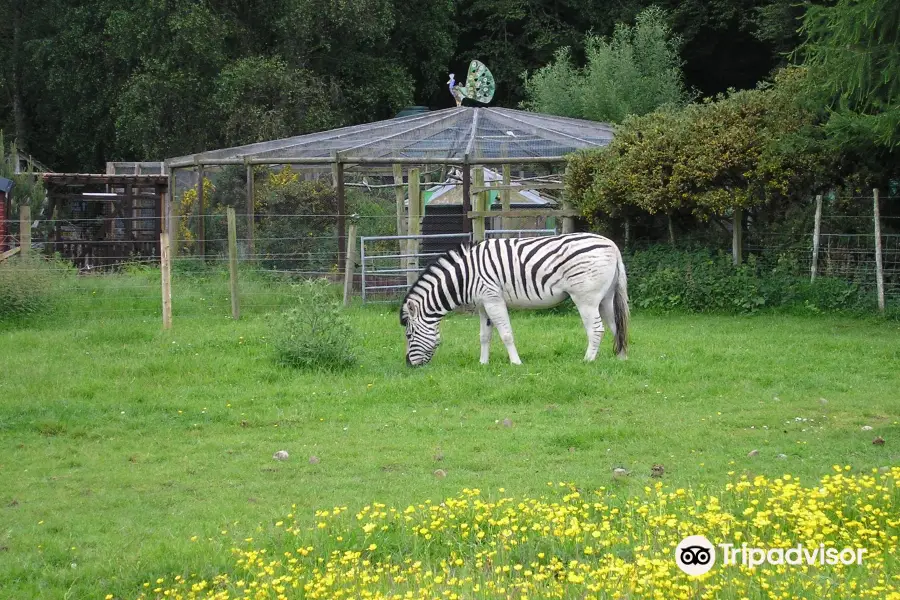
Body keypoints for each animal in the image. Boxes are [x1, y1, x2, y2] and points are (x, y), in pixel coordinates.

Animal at [398, 233, 628, 366]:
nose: (408, 364)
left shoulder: (493, 299)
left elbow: (506, 334)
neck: (466, 276)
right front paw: (483, 364)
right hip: (606, 298)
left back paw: (588, 360)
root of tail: (611, 244)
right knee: (616, 327)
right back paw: (621, 359)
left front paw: (516, 363)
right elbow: (484, 335)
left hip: (586, 298)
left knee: (596, 329)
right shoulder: (483, 304)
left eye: (409, 335)